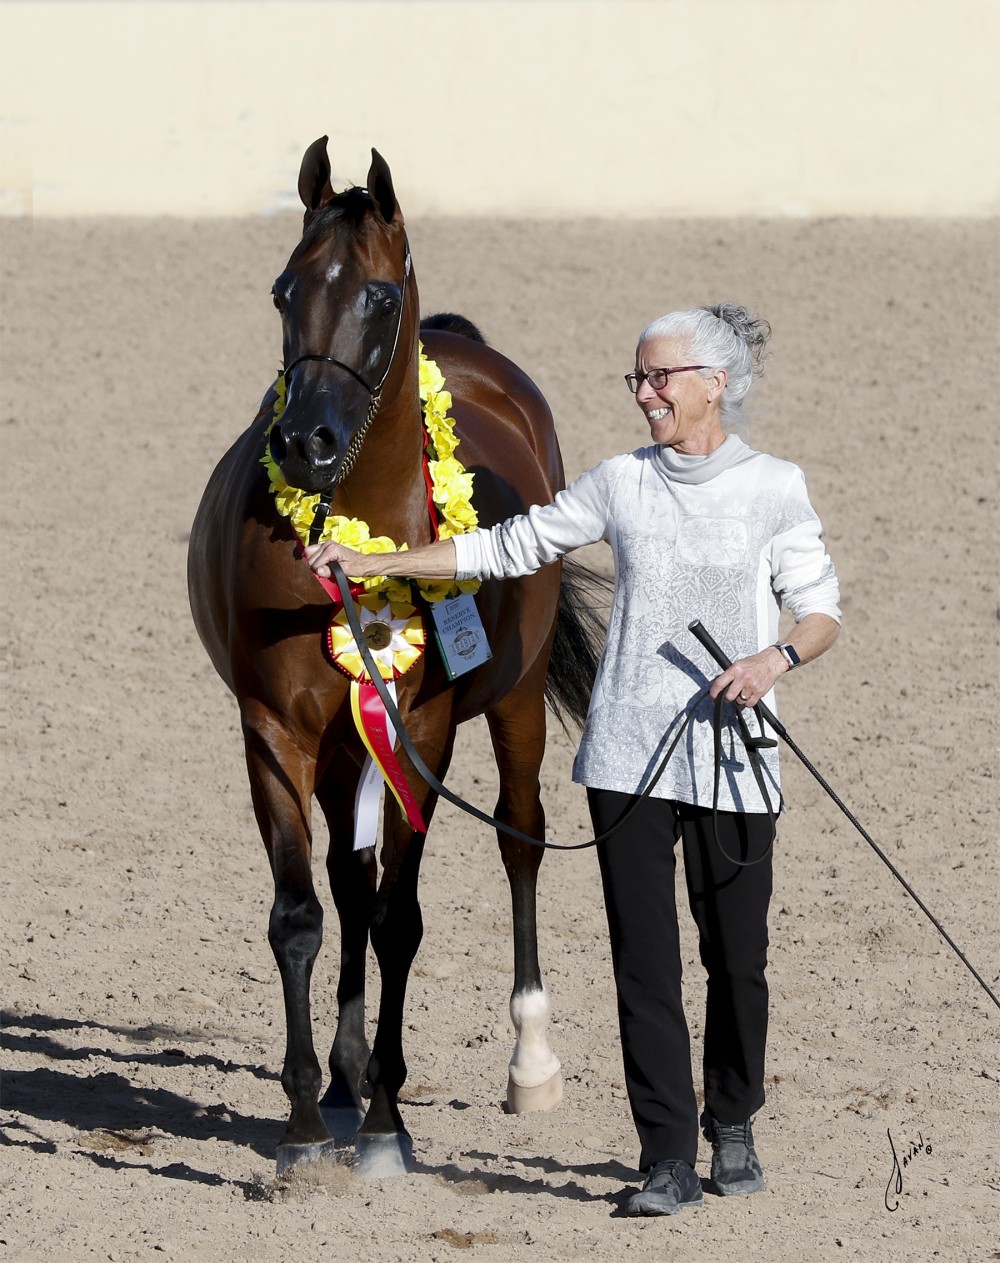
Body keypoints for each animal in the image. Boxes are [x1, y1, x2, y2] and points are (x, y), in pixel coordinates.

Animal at [187, 137, 601, 1177]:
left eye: (377, 296)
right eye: (284, 288)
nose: (306, 442)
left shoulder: (422, 733)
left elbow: (401, 920)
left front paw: (386, 1122)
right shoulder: (274, 733)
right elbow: (302, 912)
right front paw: (304, 1120)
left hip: (514, 703)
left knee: (517, 837)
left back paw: (529, 1063)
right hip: (345, 747)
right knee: (349, 877)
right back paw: (341, 1080)